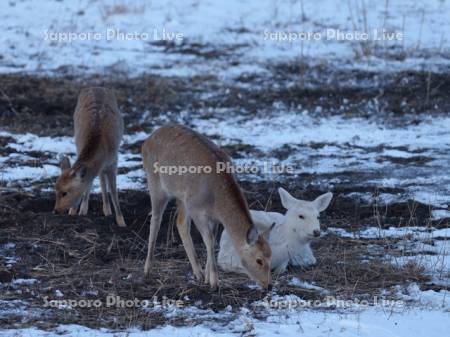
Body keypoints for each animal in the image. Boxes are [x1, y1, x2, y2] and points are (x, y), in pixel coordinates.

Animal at [53, 86, 125, 226]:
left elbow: (113, 190)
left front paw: (121, 222)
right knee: (97, 177)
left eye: (65, 193)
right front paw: (75, 211)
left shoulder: (114, 161)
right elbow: (89, 181)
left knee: (101, 178)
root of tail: (97, 86)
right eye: (55, 190)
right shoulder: (79, 146)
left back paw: (107, 210)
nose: (55, 210)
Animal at [142, 124, 272, 288]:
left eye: (271, 255)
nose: (269, 285)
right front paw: (215, 283)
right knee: (155, 220)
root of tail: (147, 140)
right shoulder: (196, 209)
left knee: (180, 222)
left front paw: (207, 278)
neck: (216, 202)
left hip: (182, 197)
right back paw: (147, 270)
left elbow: (212, 240)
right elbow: (209, 240)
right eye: (259, 260)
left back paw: (198, 273)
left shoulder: (213, 216)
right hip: (155, 184)